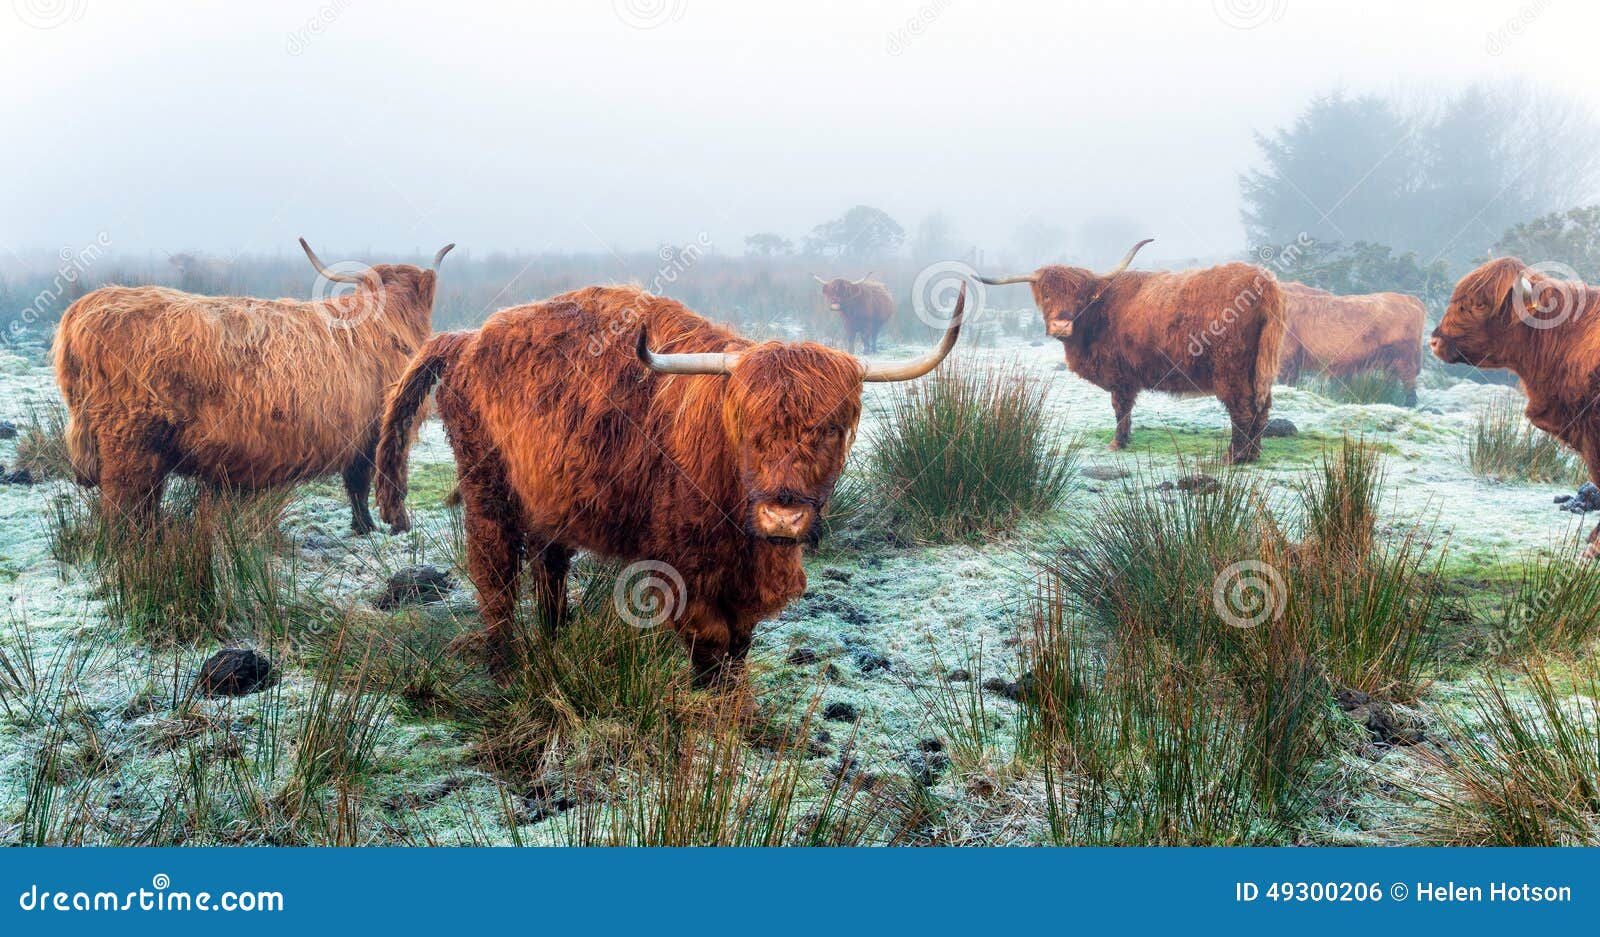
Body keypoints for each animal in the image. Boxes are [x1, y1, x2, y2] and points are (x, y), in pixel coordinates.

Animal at [54, 236, 454, 527]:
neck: (387, 322)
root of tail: (84, 308)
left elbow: (355, 483)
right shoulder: (377, 432)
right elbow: (365, 483)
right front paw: (376, 526)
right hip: (129, 440)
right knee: (123, 507)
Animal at [374, 281, 960, 681]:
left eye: (832, 429)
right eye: (747, 426)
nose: (783, 514)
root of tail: (468, 339)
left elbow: (739, 645)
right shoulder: (685, 571)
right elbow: (710, 649)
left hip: (550, 497)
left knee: (550, 568)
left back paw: (556, 639)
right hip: (488, 491)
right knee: (494, 577)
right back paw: (505, 666)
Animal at [972, 238, 1286, 460]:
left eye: (1079, 297)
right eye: (1046, 295)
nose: (1061, 325)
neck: (1098, 314)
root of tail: (1265, 280)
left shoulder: (1120, 377)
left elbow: (1120, 409)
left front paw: (1116, 443)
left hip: (1230, 370)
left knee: (1242, 410)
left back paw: (1234, 457)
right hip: (1258, 370)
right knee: (1262, 410)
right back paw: (1253, 455)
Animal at [1273, 281, 1427, 404]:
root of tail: (1409, 298)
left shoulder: (1287, 356)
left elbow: (1286, 381)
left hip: (1403, 357)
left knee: (1408, 385)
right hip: (1391, 361)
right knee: (1390, 383)